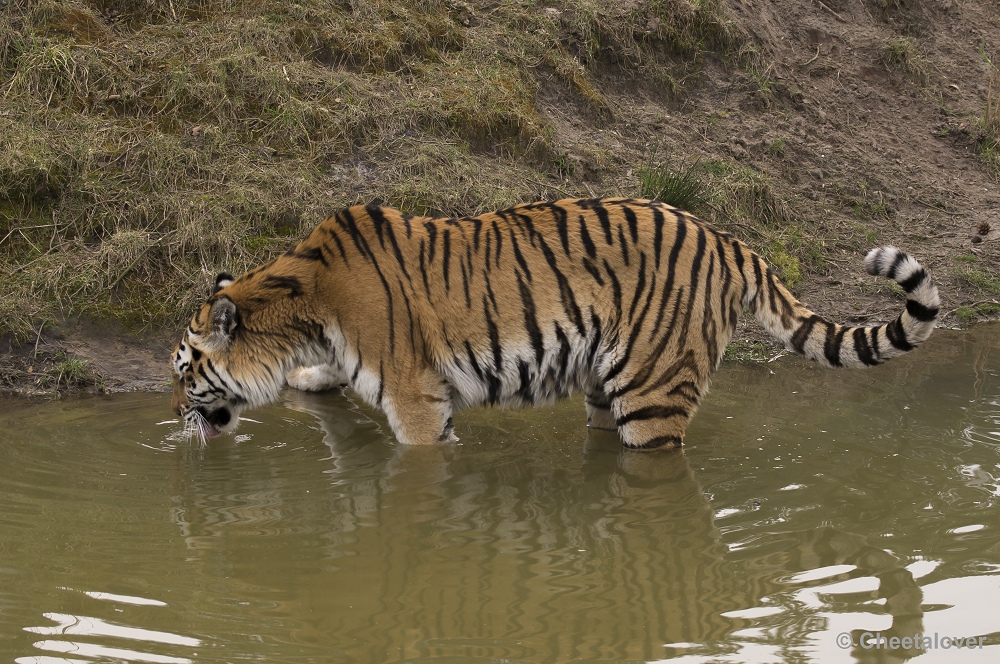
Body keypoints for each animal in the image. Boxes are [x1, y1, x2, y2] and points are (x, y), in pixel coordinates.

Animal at [168, 195, 940, 448]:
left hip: (653, 394)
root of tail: (728, 240)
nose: (176, 416)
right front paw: (309, 382)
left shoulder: (417, 403)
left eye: (184, 372)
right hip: (608, 383)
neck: (300, 303)